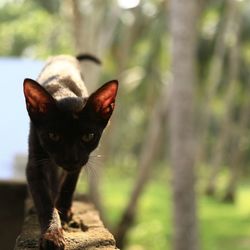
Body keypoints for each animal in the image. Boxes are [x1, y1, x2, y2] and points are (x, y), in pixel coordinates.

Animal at [22, 55, 118, 249]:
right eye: (53, 135)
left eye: (88, 136)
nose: (71, 158)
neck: (64, 92)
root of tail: (66, 56)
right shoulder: (35, 163)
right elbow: (44, 200)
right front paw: (52, 234)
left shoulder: (80, 163)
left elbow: (68, 186)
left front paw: (64, 212)